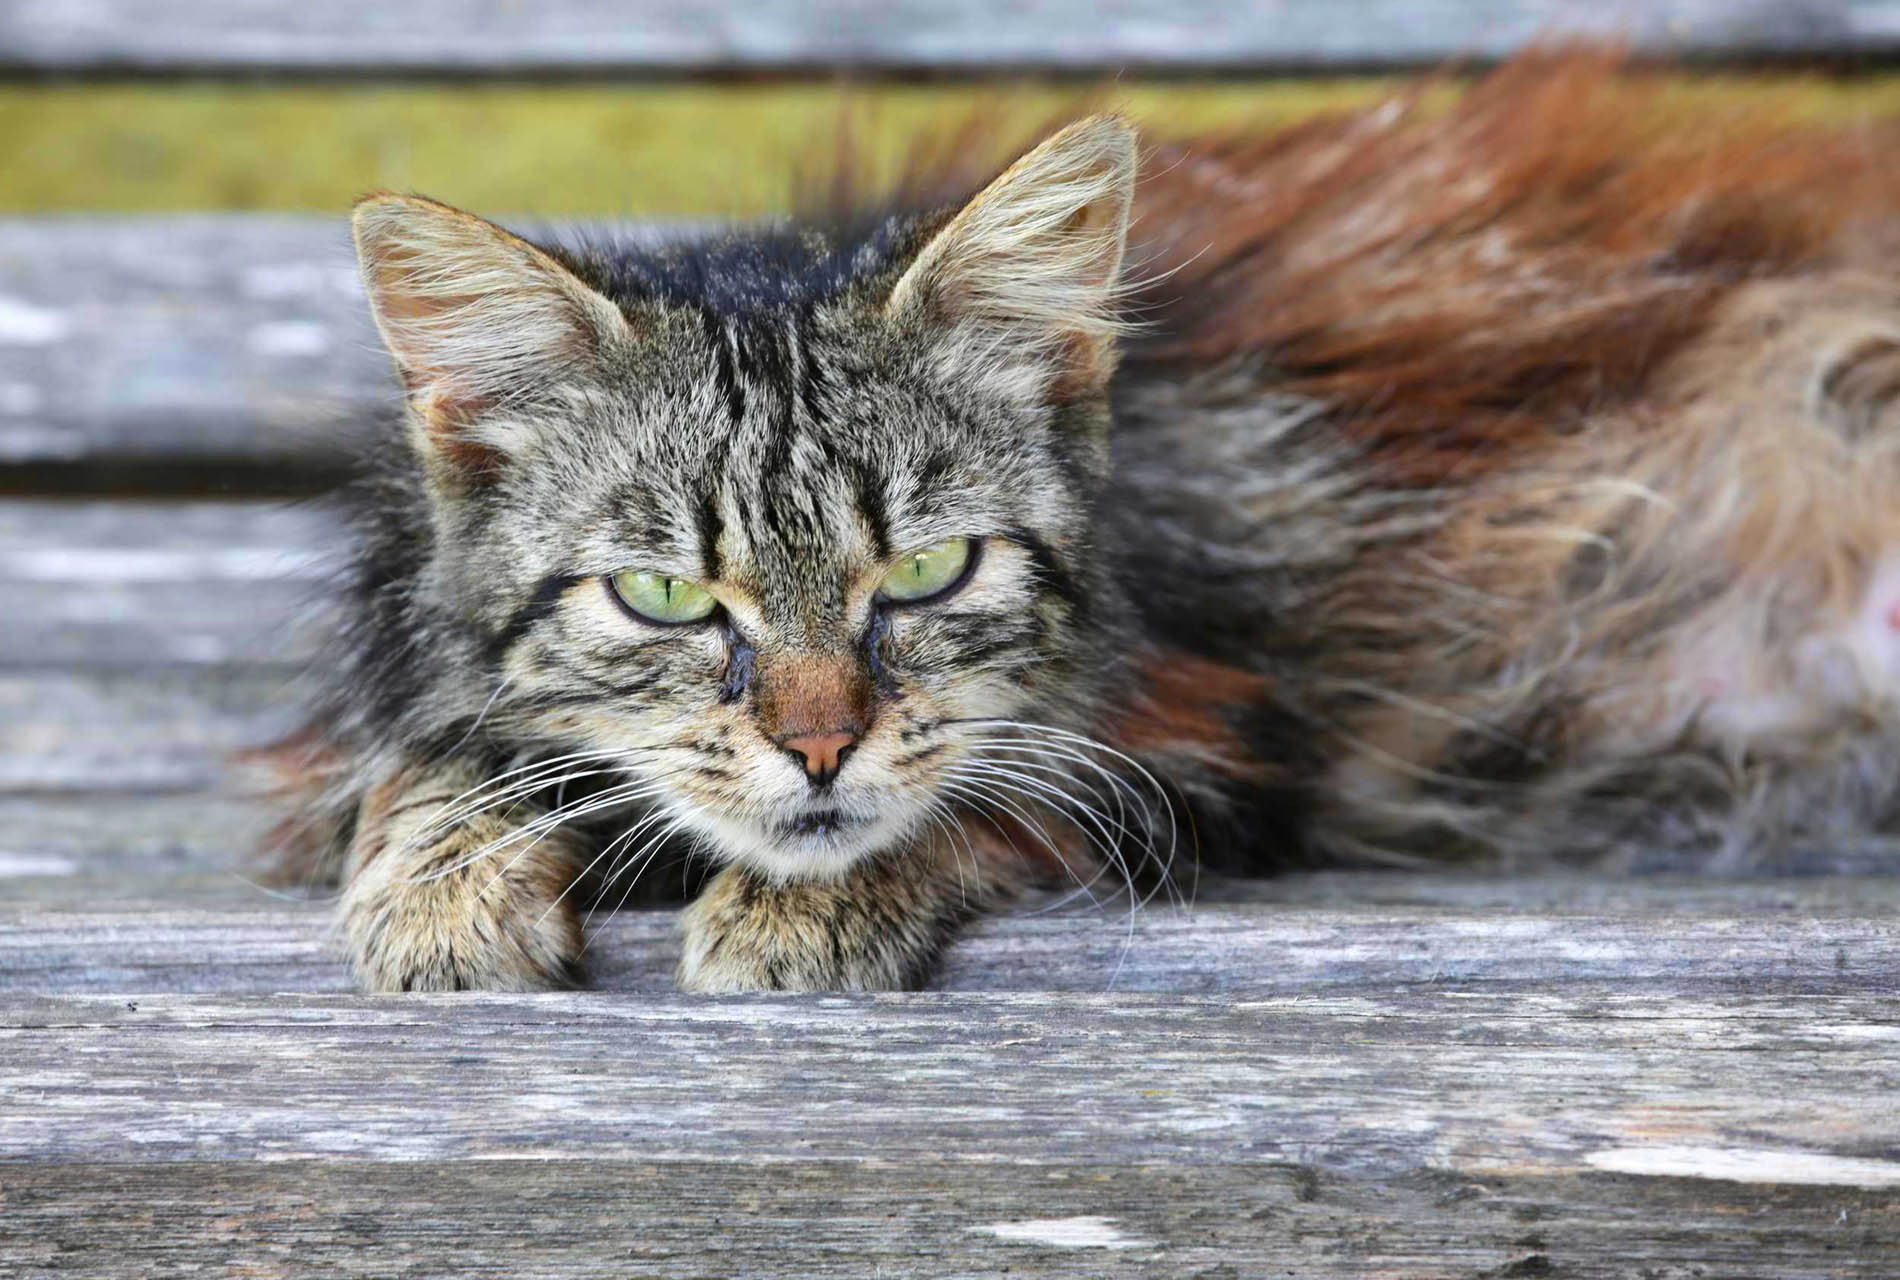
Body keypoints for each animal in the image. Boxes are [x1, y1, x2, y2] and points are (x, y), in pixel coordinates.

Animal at [281, 49, 1900, 987]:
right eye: (668, 597)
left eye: (930, 573)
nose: (818, 748)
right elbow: (421, 767)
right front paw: (438, 886)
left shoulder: (1197, 740)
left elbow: (977, 793)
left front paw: (804, 904)